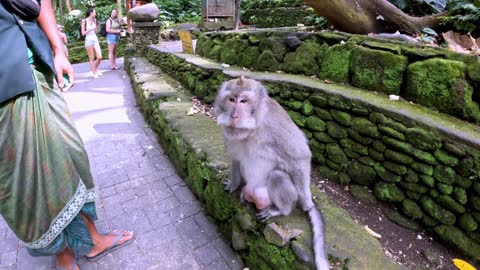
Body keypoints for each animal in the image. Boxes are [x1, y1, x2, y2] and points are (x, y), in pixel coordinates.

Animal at [215, 77, 330, 268]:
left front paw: (307, 204)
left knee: (278, 176)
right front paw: (233, 184)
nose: (234, 116)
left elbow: (300, 155)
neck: (252, 130)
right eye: (231, 100)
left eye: (244, 101)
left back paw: (282, 209)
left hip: (282, 196)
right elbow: (236, 158)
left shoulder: (274, 126)